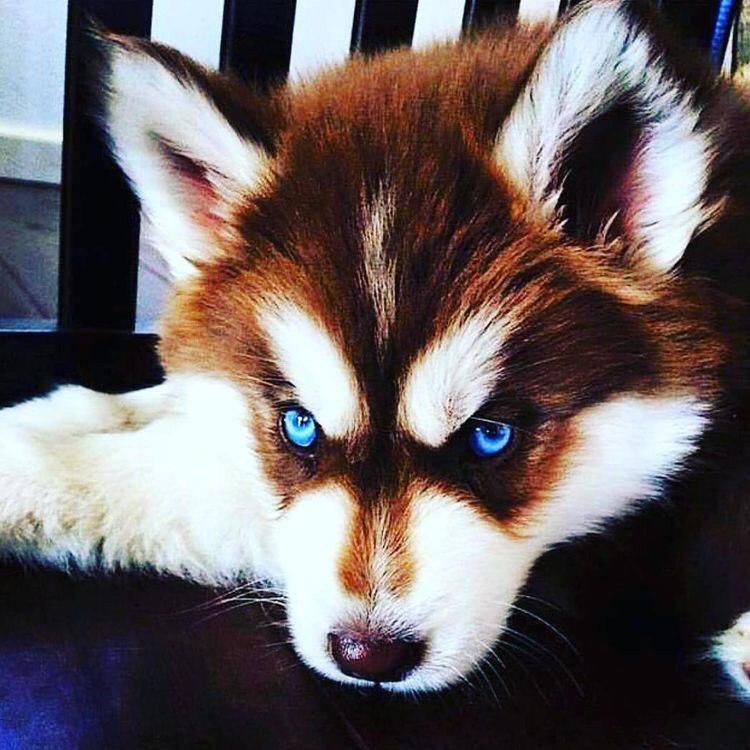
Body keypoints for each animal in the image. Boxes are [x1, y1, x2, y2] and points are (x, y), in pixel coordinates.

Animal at [1, 0, 750, 700]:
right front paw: (67, 410)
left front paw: (27, 461)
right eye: (299, 426)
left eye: (491, 434)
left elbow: (176, 475)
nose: (369, 656)